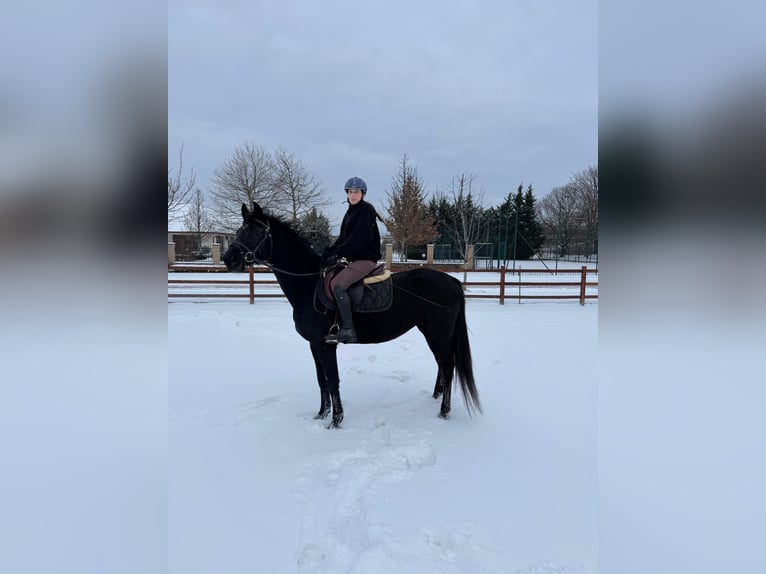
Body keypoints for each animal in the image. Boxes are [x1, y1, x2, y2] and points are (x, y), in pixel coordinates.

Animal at [223, 202, 481, 428]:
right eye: (239, 230)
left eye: (256, 231)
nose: (229, 259)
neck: (309, 284)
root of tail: (451, 281)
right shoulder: (314, 345)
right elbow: (321, 381)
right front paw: (321, 414)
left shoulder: (326, 345)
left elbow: (332, 381)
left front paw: (336, 421)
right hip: (430, 332)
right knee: (441, 364)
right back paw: (435, 398)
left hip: (440, 333)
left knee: (448, 366)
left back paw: (444, 411)